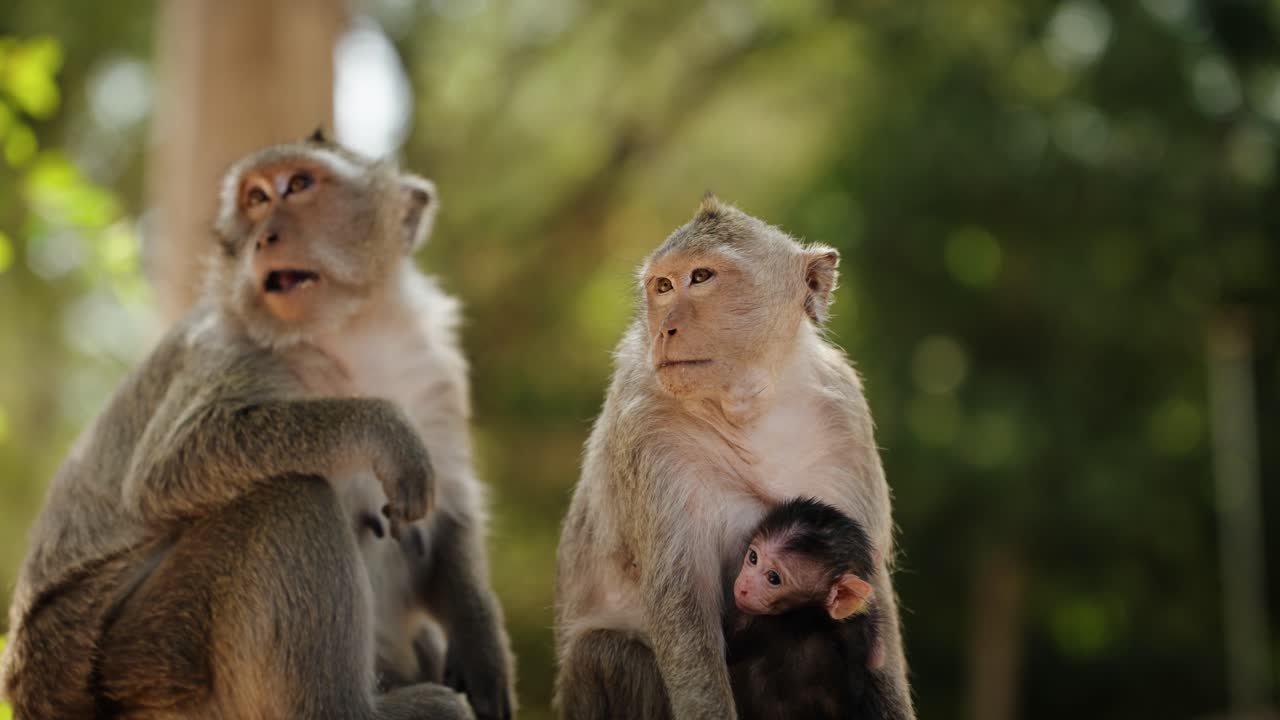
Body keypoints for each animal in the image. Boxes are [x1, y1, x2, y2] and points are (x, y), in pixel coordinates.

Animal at [0, 136, 497, 719]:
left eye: (299, 185)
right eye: (256, 199)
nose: (265, 236)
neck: (350, 333)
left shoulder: (438, 370)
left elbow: (449, 521)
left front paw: (481, 646)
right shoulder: (229, 348)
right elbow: (174, 463)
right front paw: (386, 429)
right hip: (141, 662)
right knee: (286, 497)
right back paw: (347, 708)